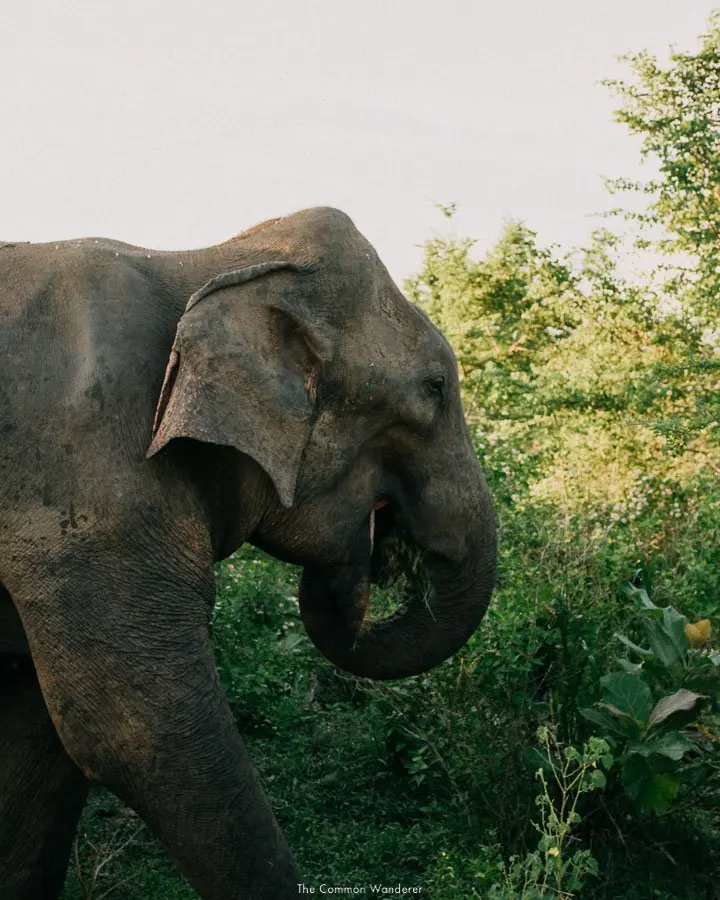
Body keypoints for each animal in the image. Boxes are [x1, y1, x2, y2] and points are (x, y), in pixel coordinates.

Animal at [0, 207, 497, 899]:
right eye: (434, 389)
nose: (369, 558)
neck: (210, 262)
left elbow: (39, 737)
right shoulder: (85, 485)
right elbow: (136, 730)